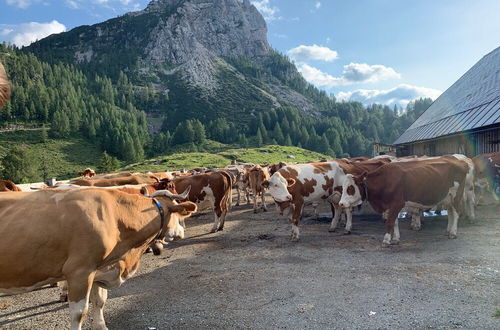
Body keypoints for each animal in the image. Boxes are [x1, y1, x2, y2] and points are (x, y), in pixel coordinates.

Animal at [0, 187, 195, 328]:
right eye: (177, 214)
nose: (181, 232)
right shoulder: (79, 271)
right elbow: (79, 313)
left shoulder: (99, 269)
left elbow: (100, 301)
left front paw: (101, 325)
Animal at [338, 156, 470, 246]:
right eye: (343, 188)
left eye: (350, 188)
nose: (341, 203)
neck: (385, 180)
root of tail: (459, 161)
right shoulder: (390, 206)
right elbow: (395, 222)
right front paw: (395, 239)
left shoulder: (396, 204)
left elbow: (390, 222)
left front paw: (386, 240)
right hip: (448, 198)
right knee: (451, 213)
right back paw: (448, 231)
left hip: (456, 196)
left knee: (456, 213)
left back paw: (453, 233)